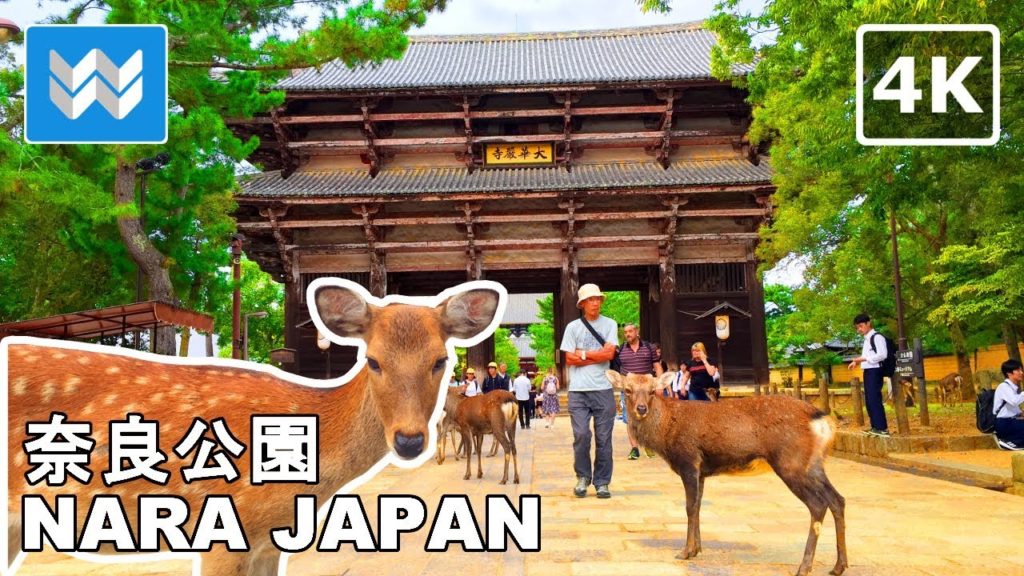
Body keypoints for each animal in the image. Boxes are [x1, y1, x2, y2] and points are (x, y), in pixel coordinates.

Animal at [607, 370, 847, 576]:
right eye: (627, 389)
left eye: (651, 390)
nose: (640, 409)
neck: (666, 433)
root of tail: (822, 421)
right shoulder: (701, 471)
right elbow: (698, 506)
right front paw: (697, 549)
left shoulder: (688, 461)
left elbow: (689, 507)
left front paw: (685, 552)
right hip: (813, 465)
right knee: (837, 499)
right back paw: (838, 566)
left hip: (791, 463)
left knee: (818, 504)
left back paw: (804, 567)